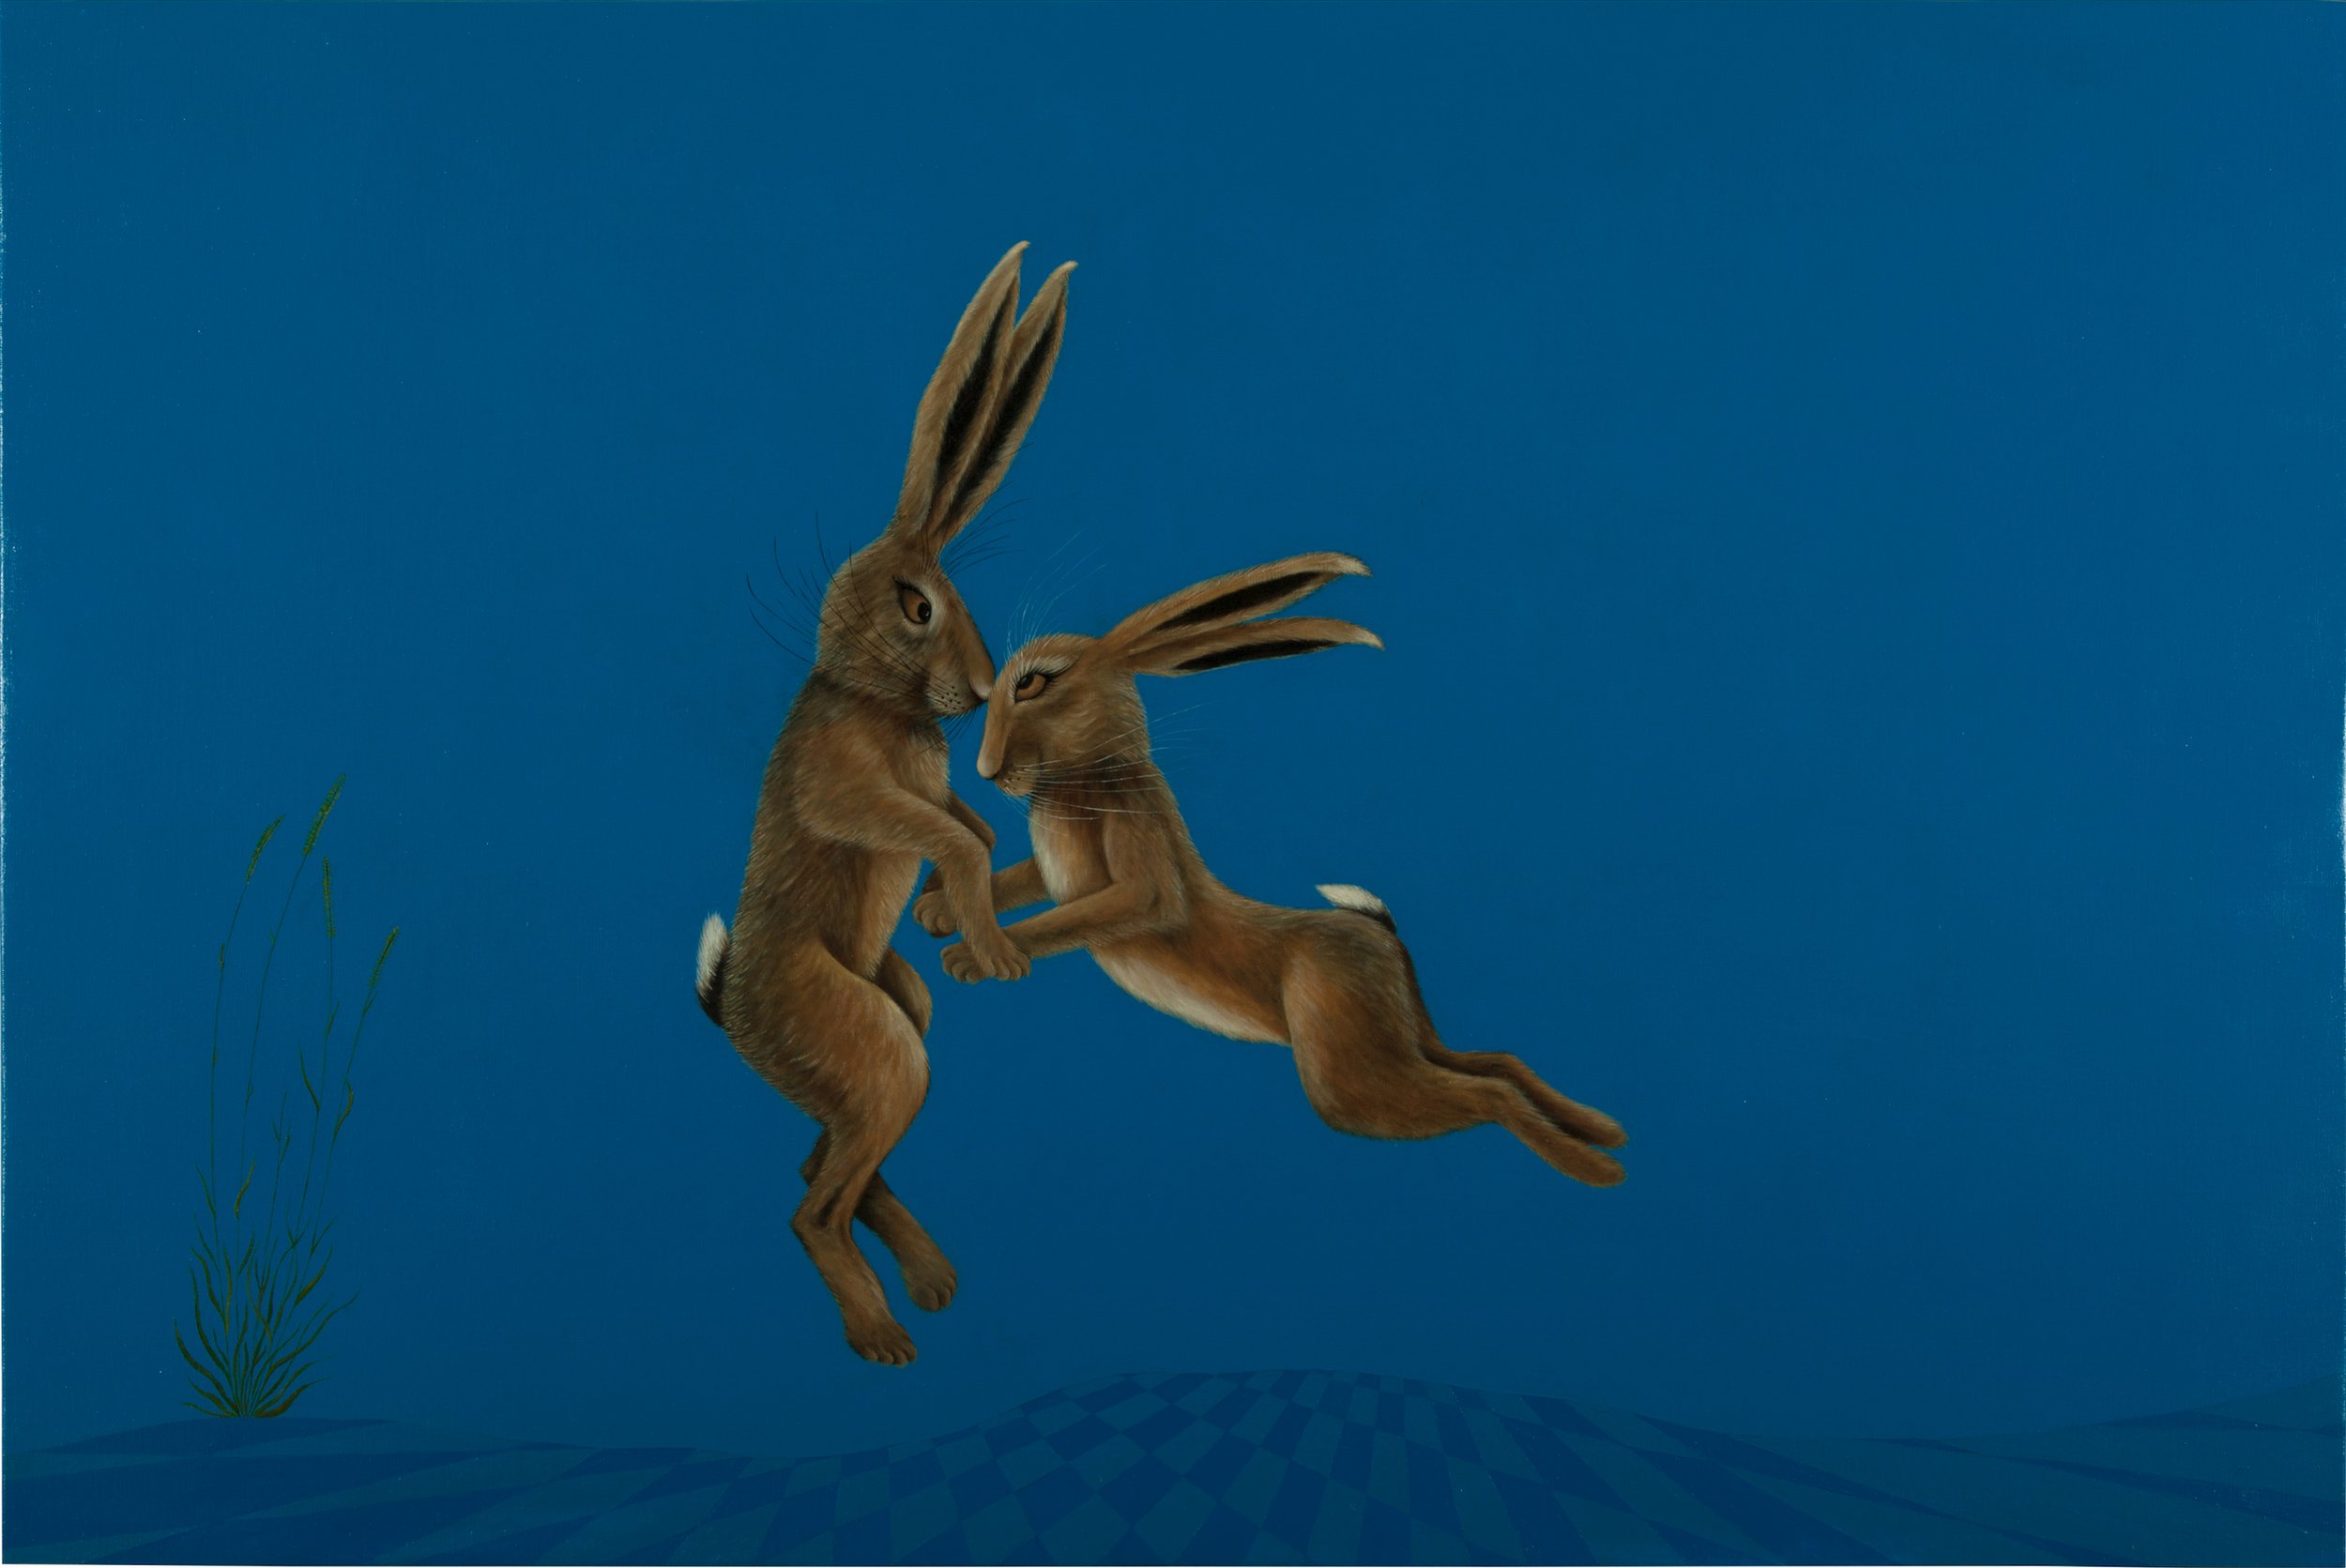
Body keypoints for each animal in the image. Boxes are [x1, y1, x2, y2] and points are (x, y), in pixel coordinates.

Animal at [696, 243, 1070, 1366]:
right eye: (916, 606)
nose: (985, 689)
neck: (876, 695)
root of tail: (731, 1018)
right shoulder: (850, 787)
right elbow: (945, 833)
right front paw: (995, 946)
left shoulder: (933, 778)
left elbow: (975, 825)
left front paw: (955, 916)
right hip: (875, 1046)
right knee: (811, 1205)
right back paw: (883, 1334)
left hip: (897, 1018)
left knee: (822, 1167)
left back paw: (933, 1281)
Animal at [915, 552, 1629, 1186]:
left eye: (1035, 682)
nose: (986, 771)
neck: (1089, 772)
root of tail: (1382, 940)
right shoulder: (1048, 870)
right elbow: (1014, 882)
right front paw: (936, 913)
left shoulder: (1135, 865)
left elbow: (1097, 910)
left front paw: (975, 958)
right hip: (1403, 1038)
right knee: (1497, 1061)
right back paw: (1605, 1130)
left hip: (1348, 1074)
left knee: (1486, 1094)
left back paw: (1597, 1170)